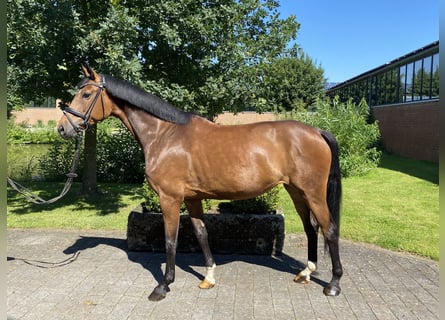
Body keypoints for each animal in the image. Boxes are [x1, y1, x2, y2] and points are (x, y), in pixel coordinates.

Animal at [57, 64, 342, 300]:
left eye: (86, 94)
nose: (62, 128)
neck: (164, 134)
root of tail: (317, 131)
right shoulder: (193, 199)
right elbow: (201, 234)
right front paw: (209, 278)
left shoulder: (170, 198)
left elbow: (170, 240)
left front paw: (163, 285)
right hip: (296, 192)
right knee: (311, 228)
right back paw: (305, 273)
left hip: (313, 193)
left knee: (329, 229)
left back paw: (333, 284)